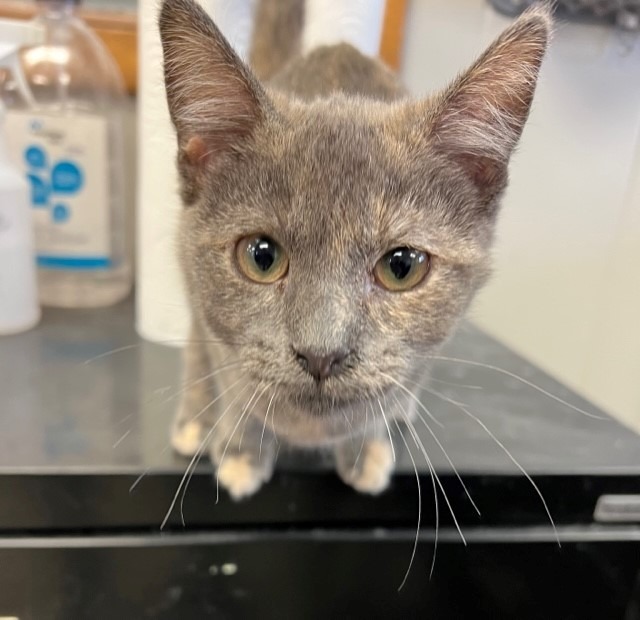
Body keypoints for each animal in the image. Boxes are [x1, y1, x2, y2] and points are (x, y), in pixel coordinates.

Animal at [159, 0, 552, 502]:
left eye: (401, 267)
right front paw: (242, 450)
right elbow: (233, 381)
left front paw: (365, 449)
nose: (321, 353)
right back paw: (196, 421)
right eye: (261, 256)